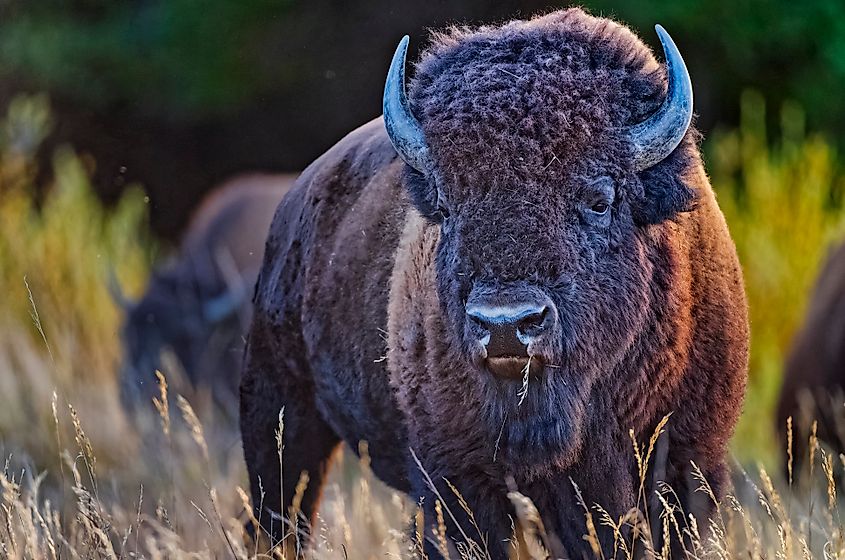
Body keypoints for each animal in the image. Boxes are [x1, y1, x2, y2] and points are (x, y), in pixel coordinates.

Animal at [240, 8, 748, 558]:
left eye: (598, 199)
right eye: (446, 205)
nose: (505, 325)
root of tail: (298, 199)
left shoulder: (689, 465)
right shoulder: (455, 484)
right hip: (280, 420)